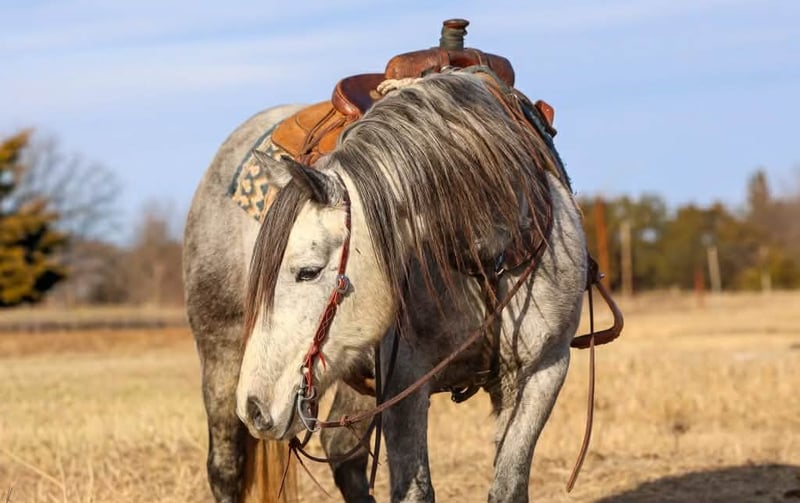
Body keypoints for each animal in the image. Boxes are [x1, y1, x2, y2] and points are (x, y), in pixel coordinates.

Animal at [235, 70, 588, 502]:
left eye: (308, 271)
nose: (253, 406)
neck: (488, 252)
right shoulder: (404, 386)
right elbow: (414, 490)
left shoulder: (543, 371)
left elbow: (509, 485)